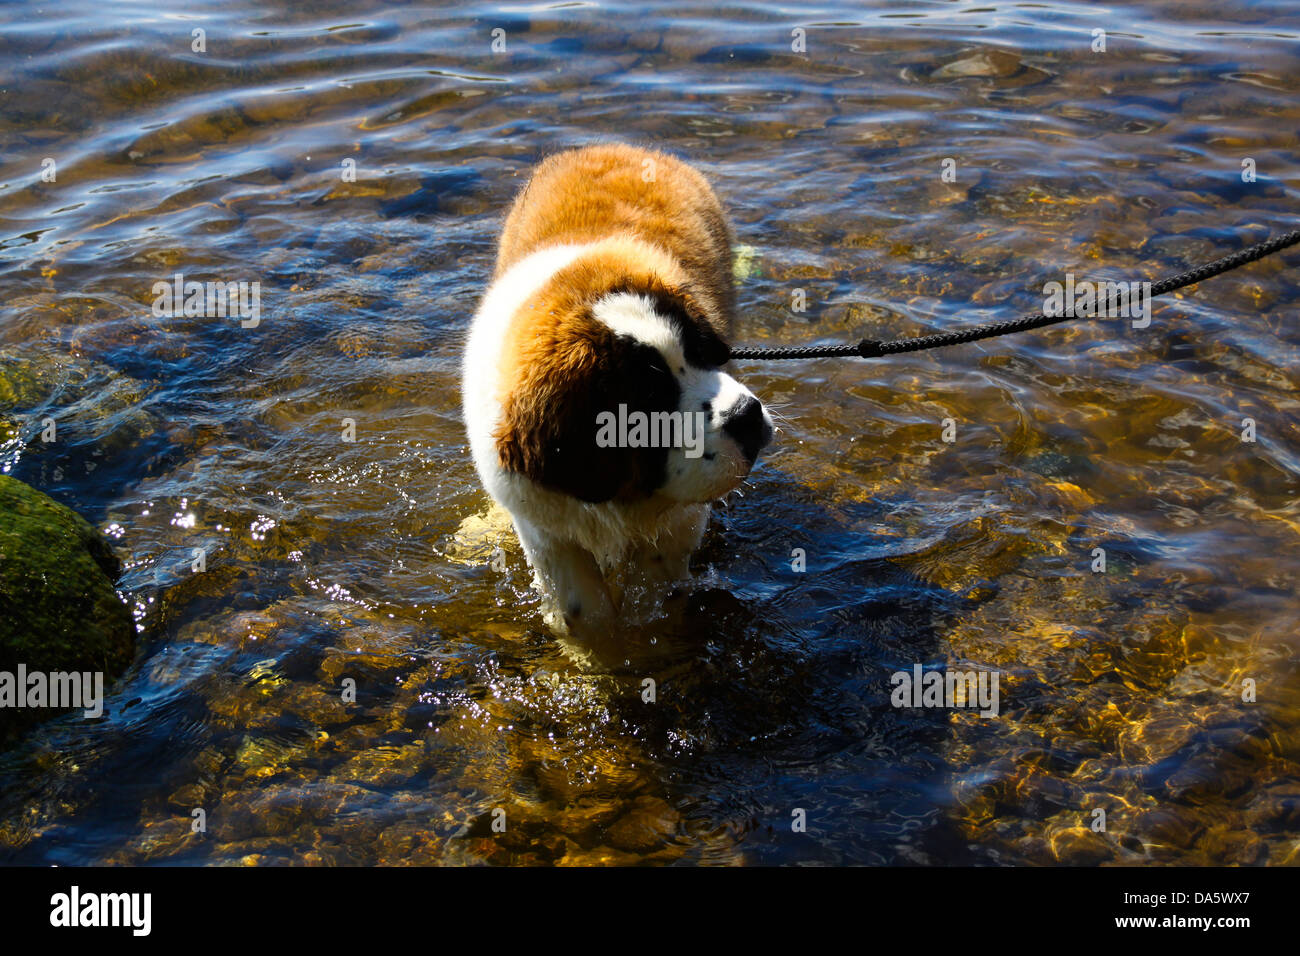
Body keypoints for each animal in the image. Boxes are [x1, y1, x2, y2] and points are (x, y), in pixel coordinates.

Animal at [462, 143, 769, 634]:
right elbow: (586, 614)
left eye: (703, 351)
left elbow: (656, 596)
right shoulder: (546, 530)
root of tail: (611, 147)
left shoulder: (677, 523)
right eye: (649, 397)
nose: (748, 415)